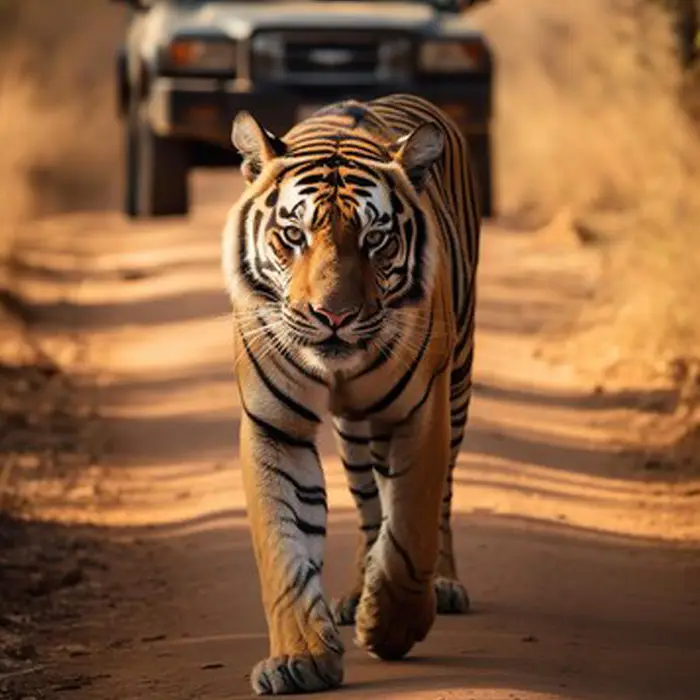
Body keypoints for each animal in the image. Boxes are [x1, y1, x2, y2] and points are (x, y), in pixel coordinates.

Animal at [223, 91, 482, 696]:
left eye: (376, 239)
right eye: (293, 236)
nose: (333, 316)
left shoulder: (421, 412)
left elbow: (412, 527)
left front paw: (390, 625)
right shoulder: (274, 423)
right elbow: (283, 542)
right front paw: (299, 657)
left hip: (455, 386)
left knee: (439, 501)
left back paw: (441, 585)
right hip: (357, 433)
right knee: (368, 506)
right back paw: (354, 591)